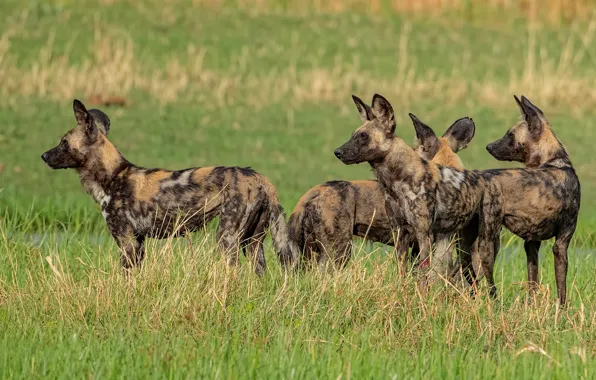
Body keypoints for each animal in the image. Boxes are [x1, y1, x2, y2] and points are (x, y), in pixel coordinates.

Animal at [42, 99, 298, 274]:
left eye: (63, 143)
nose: (43, 155)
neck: (112, 176)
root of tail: (260, 178)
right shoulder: (138, 243)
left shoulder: (127, 242)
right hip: (252, 243)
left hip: (227, 238)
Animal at [332, 93, 486, 280]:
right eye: (354, 135)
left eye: (363, 136)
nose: (337, 152)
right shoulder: (400, 232)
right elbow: (403, 273)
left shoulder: (424, 235)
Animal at [480, 95, 584, 306]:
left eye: (510, 135)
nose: (488, 146)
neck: (554, 161)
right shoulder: (562, 242)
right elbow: (562, 286)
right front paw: (562, 310)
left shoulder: (531, 243)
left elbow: (532, 281)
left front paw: (531, 306)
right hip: (491, 239)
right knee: (484, 270)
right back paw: (494, 302)